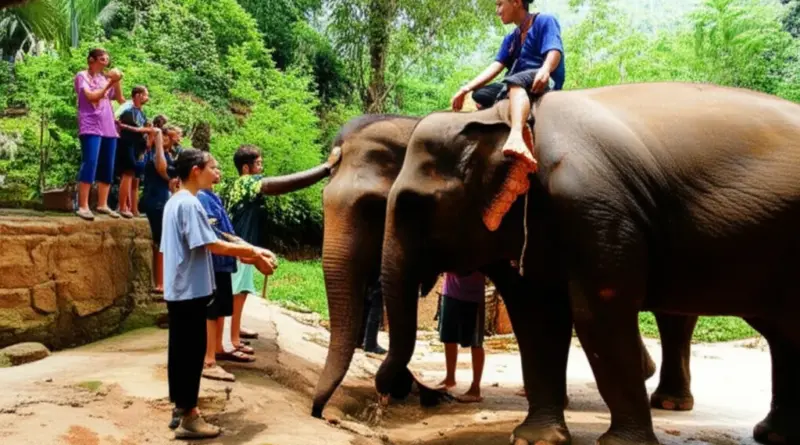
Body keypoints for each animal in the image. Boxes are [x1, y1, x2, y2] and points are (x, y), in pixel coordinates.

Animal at [376, 82, 800, 445]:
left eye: (414, 205)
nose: (386, 394)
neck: (506, 120)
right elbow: (537, 316)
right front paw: (534, 439)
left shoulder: (593, 206)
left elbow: (599, 312)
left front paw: (620, 444)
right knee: (782, 332)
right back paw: (772, 434)